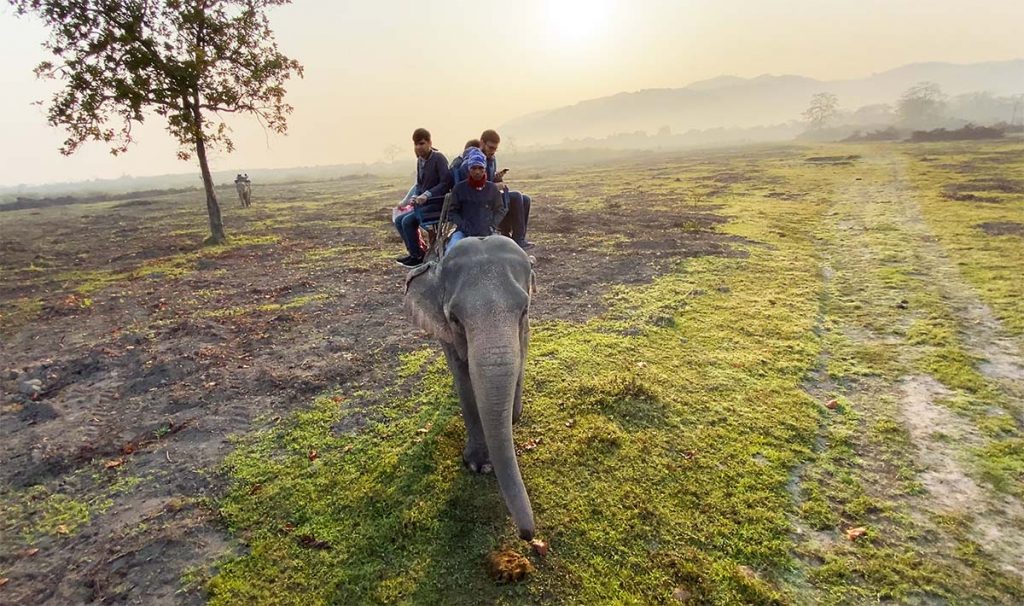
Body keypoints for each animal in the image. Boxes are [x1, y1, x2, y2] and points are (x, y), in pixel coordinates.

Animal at [403, 235, 536, 540]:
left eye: (524, 309)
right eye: (455, 318)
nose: (527, 535)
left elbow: (521, 355)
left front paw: (513, 417)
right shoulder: (447, 333)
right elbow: (463, 379)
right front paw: (479, 465)